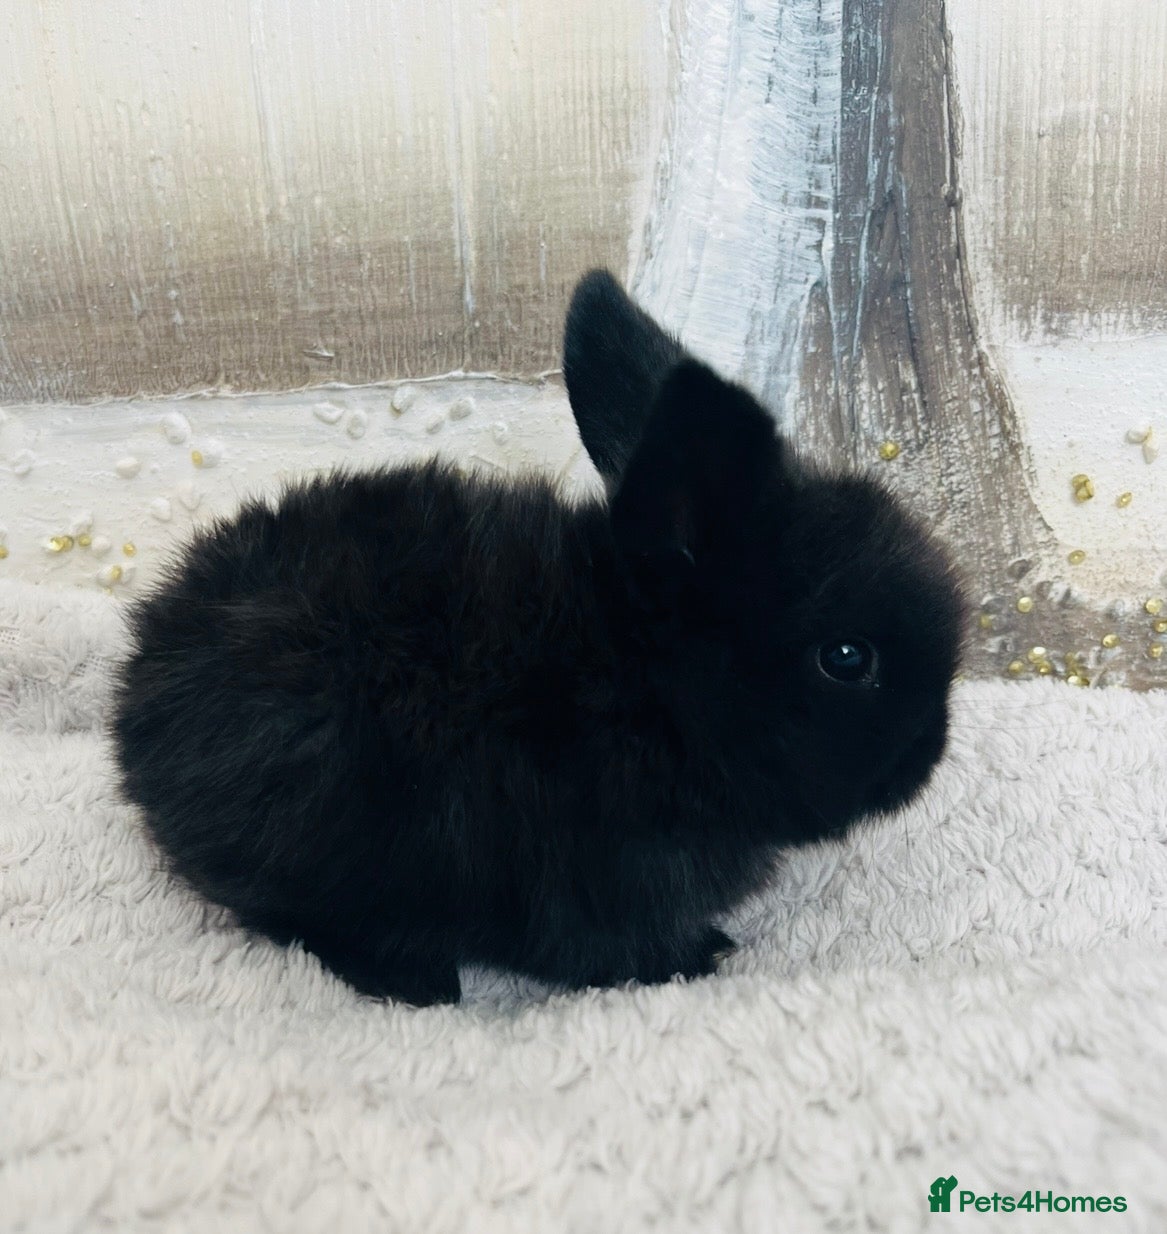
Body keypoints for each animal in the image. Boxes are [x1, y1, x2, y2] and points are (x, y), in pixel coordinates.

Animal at [112, 269, 965, 1006]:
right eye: (846, 659)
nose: (929, 756)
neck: (644, 688)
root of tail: (139, 688)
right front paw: (703, 954)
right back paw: (417, 981)